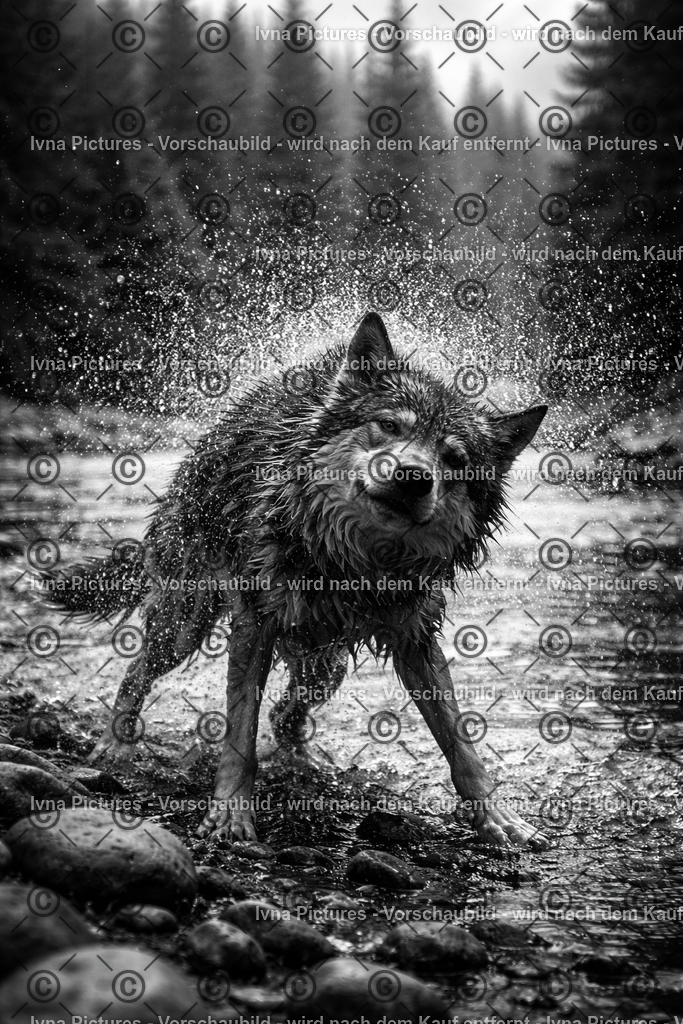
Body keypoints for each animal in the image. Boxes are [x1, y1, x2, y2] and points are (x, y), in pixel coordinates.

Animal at [49, 313, 547, 847]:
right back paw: (114, 744)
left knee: (286, 714)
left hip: (323, 665)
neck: (357, 564)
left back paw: (304, 764)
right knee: (138, 670)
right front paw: (231, 814)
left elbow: (460, 741)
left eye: (454, 459)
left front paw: (499, 819)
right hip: (184, 625)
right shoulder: (255, 626)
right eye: (389, 425)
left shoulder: (416, 638)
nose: (414, 475)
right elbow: (240, 732)